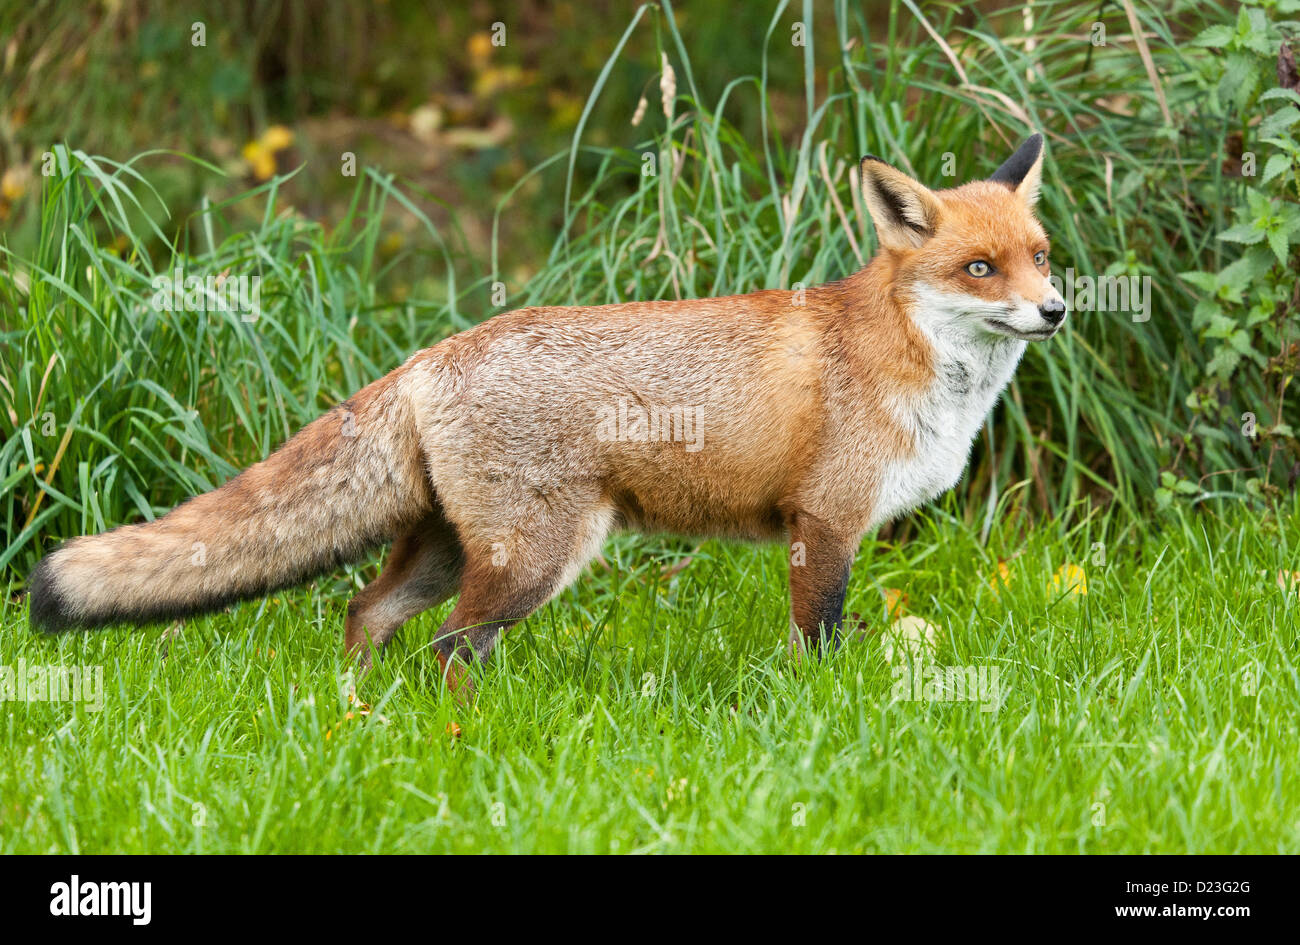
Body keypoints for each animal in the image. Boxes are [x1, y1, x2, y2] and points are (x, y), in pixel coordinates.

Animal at [27, 134, 1066, 694]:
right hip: (537, 553)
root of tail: (430, 354)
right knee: (447, 641)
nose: (1056, 310)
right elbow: (818, 641)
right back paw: (463, 729)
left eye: (1042, 255)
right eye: (980, 269)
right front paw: (820, 712)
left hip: (456, 547)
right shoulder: (827, 521)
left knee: (370, 611)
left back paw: (360, 712)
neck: (915, 366)